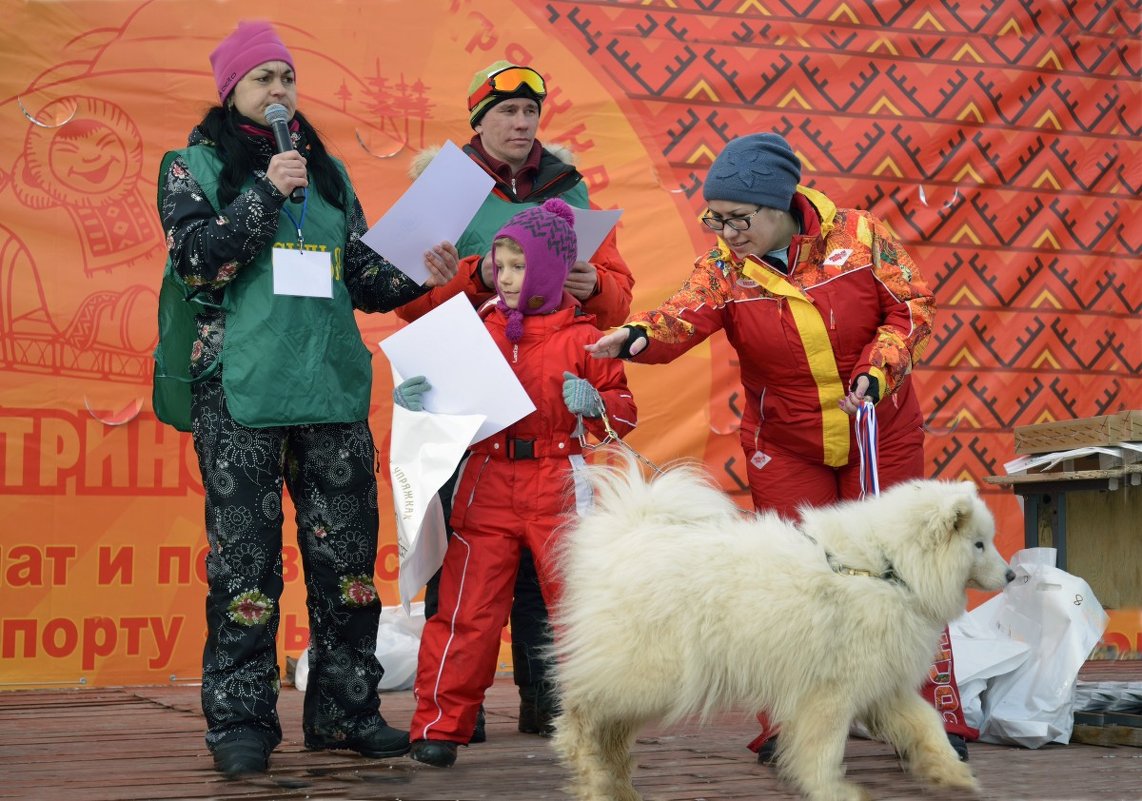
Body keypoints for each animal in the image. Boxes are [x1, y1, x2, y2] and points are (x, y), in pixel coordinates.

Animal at [548, 457, 1014, 799]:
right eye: (978, 544)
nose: (1012, 575)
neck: (887, 568)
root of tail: (624, 536)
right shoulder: (831, 691)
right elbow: (824, 749)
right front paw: (833, 790)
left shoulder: (883, 685)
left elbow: (927, 725)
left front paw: (951, 773)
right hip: (650, 673)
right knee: (583, 711)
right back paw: (582, 761)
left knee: (611, 733)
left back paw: (612, 786)